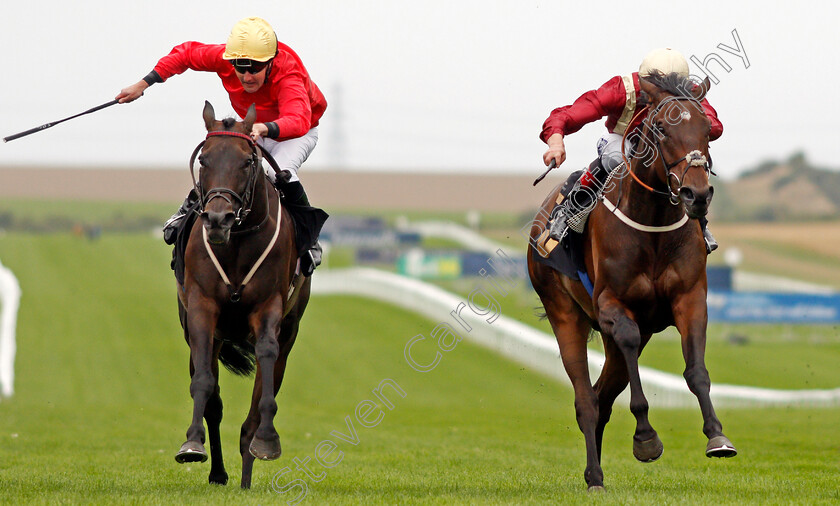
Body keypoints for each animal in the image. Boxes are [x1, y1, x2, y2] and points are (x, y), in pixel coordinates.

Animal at [176, 101, 310, 488]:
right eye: (204, 159)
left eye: (247, 161)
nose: (218, 219)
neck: (235, 243)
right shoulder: (201, 309)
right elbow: (204, 385)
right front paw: (192, 443)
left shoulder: (270, 308)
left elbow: (265, 375)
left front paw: (266, 441)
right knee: (214, 403)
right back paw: (219, 473)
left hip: (290, 330)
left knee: (264, 388)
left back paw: (246, 474)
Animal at [528, 74, 740, 490]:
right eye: (661, 128)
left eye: (707, 130)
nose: (697, 194)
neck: (652, 223)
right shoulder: (613, 305)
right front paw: (645, 438)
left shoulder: (690, 298)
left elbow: (696, 370)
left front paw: (717, 436)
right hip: (563, 310)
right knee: (586, 399)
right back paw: (594, 476)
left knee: (602, 395)